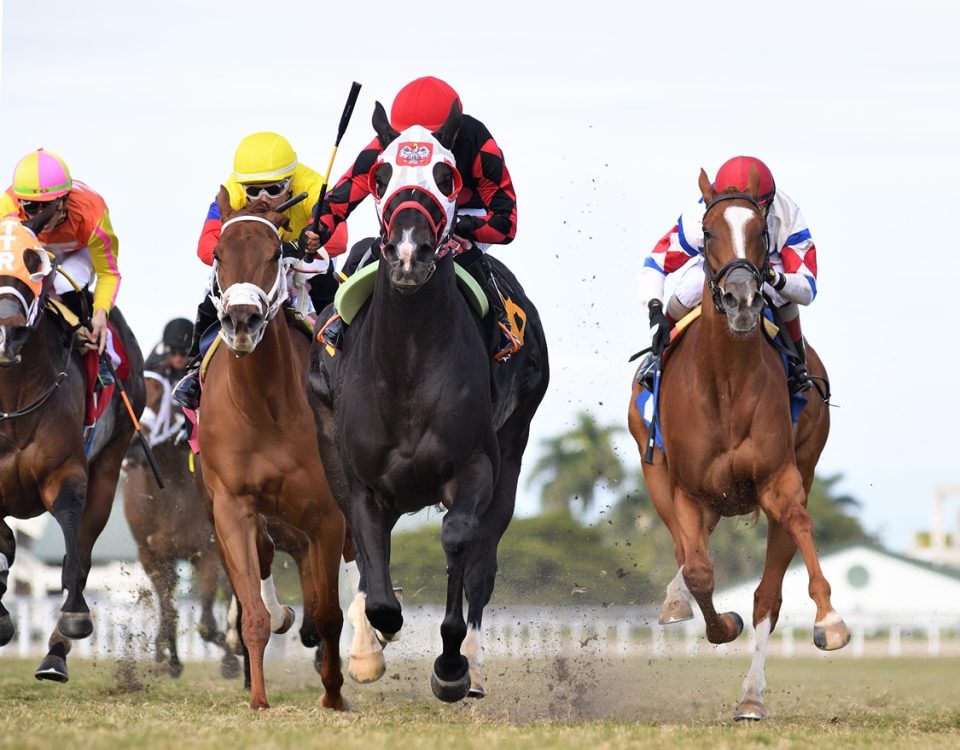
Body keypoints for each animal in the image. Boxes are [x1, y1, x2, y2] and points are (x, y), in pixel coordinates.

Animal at [0, 216, 144, 680]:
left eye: (34, 262)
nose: (6, 333)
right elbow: (5, 544)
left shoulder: (66, 471)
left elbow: (71, 538)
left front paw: (74, 617)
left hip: (110, 464)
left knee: (81, 547)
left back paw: (54, 653)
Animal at [198, 192, 344, 712]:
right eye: (218, 254)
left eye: (276, 252)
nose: (242, 321)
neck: (266, 408)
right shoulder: (231, 505)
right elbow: (254, 615)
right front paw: (259, 699)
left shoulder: (329, 512)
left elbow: (330, 614)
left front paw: (334, 696)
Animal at [308, 101, 548, 704]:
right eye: (380, 174)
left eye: (447, 175)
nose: (408, 253)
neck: (409, 363)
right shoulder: (364, 483)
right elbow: (376, 582)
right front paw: (372, 644)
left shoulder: (476, 465)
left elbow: (459, 539)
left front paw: (452, 665)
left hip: (514, 446)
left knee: (483, 559)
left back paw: (475, 669)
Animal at [632, 170, 848, 724]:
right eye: (708, 232)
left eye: (761, 232)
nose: (743, 298)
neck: (725, 379)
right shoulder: (685, 489)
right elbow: (700, 571)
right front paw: (715, 621)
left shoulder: (780, 479)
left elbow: (789, 546)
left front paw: (830, 620)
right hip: (662, 476)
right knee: (687, 553)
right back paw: (676, 601)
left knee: (767, 594)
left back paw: (752, 696)